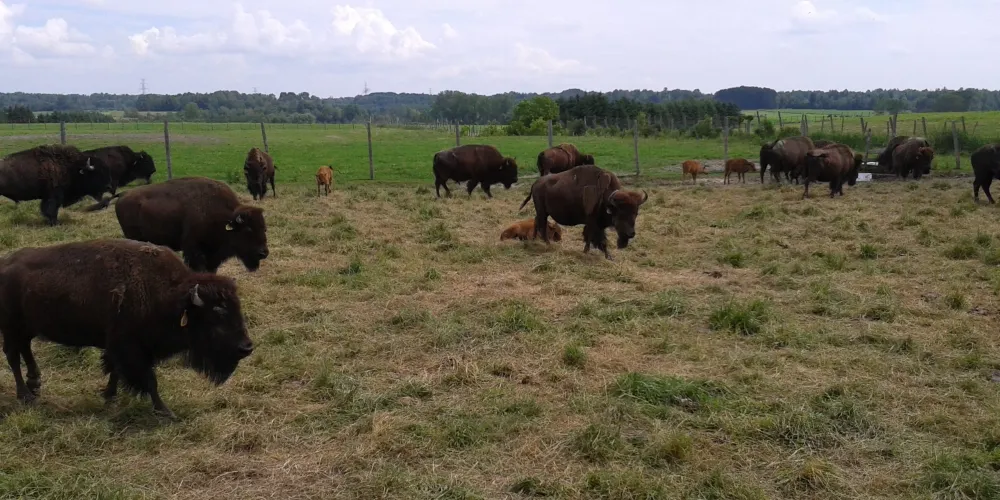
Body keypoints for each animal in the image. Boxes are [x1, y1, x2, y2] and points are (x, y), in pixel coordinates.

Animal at [0, 238, 254, 419]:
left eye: (237, 309)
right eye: (217, 315)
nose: (247, 348)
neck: (170, 296)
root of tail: (4, 264)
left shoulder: (120, 347)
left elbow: (115, 371)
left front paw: (109, 396)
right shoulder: (132, 349)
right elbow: (149, 380)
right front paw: (165, 412)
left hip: (26, 328)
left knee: (25, 351)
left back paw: (35, 385)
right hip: (11, 328)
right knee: (13, 356)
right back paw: (25, 396)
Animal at [87, 177, 269, 274]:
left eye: (264, 228)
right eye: (248, 229)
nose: (263, 253)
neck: (223, 217)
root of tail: (124, 194)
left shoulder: (212, 256)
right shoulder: (193, 250)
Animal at [518, 164, 648, 260]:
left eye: (636, 213)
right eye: (621, 213)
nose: (631, 234)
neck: (606, 198)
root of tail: (535, 183)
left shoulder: (598, 224)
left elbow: (598, 239)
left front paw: (607, 256)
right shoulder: (592, 222)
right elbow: (594, 237)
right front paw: (588, 252)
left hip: (542, 212)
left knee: (536, 221)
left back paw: (534, 240)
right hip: (542, 211)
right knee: (541, 224)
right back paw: (548, 244)